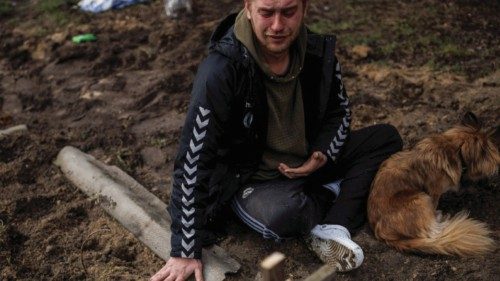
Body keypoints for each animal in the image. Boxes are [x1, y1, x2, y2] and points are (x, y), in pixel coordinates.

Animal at [368, 112, 500, 256]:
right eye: (486, 151)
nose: (498, 164)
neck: (452, 148)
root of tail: (382, 234)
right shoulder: (434, 193)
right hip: (421, 198)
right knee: (432, 232)